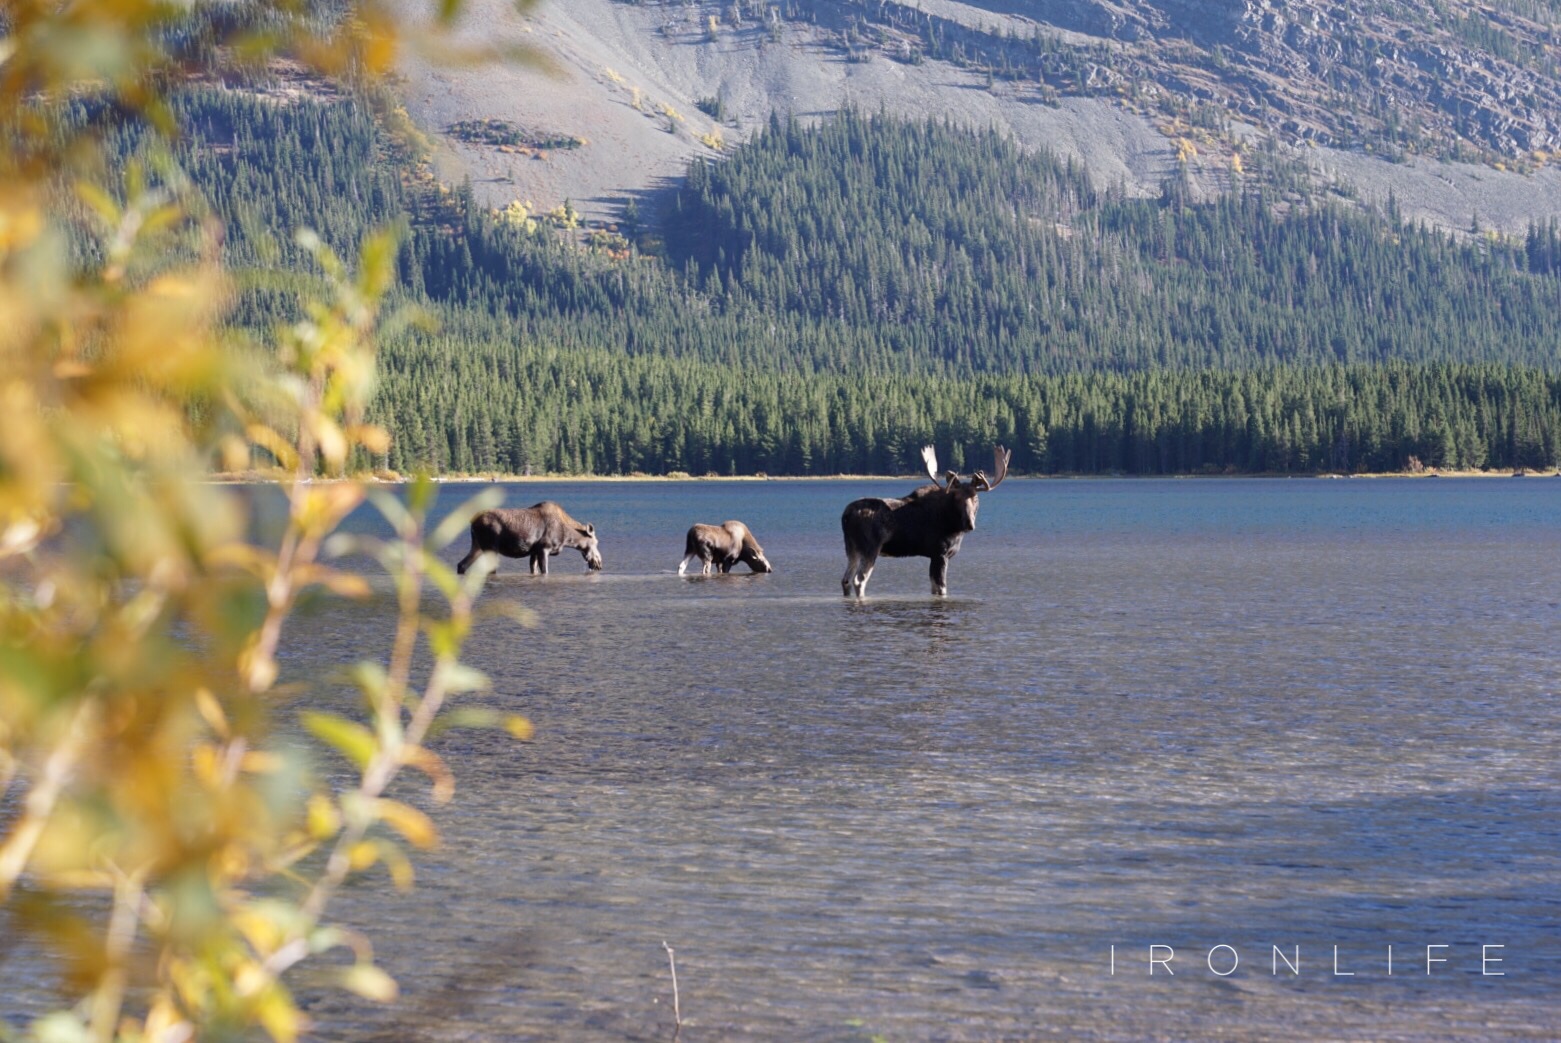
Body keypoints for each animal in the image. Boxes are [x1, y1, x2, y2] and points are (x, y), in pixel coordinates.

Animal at [455, 499, 602, 574]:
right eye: (596, 542)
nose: (599, 562)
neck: (566, 538)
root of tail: (472, 522)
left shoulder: (534, 551)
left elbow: (533, 570)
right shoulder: (544, 549)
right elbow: (545, 570)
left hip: (477, 546)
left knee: (462, 565)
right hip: (490, 547)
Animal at [842, 443, 1011, 599]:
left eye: (975, 497)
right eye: (956, 497)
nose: (969, 523)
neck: (954, 526)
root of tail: (845, 515)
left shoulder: (934, 555)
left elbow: (934, 588)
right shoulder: (940, 553)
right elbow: (941, 588)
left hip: (852, 548)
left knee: (846, 580)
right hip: (870, 548)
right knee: (859, 580)